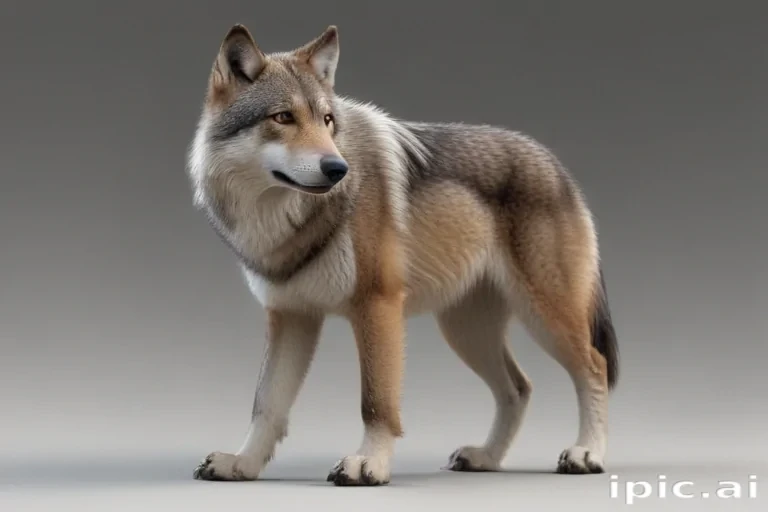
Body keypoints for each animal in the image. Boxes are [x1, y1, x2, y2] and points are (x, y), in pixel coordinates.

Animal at [186, 24, 619, 486]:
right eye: (283, 117)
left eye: (327, 120)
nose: (338, 169)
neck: (285, 221)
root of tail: (556, 165)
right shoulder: (290, 316)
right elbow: (266, 403)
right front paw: (242, 464)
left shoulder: (378, 307)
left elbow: (376, 401)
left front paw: (369, 464)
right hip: (465, 332)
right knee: (518, 388)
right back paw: (486, 457)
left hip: (545, 317)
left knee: (594, 367)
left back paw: (587, 453)